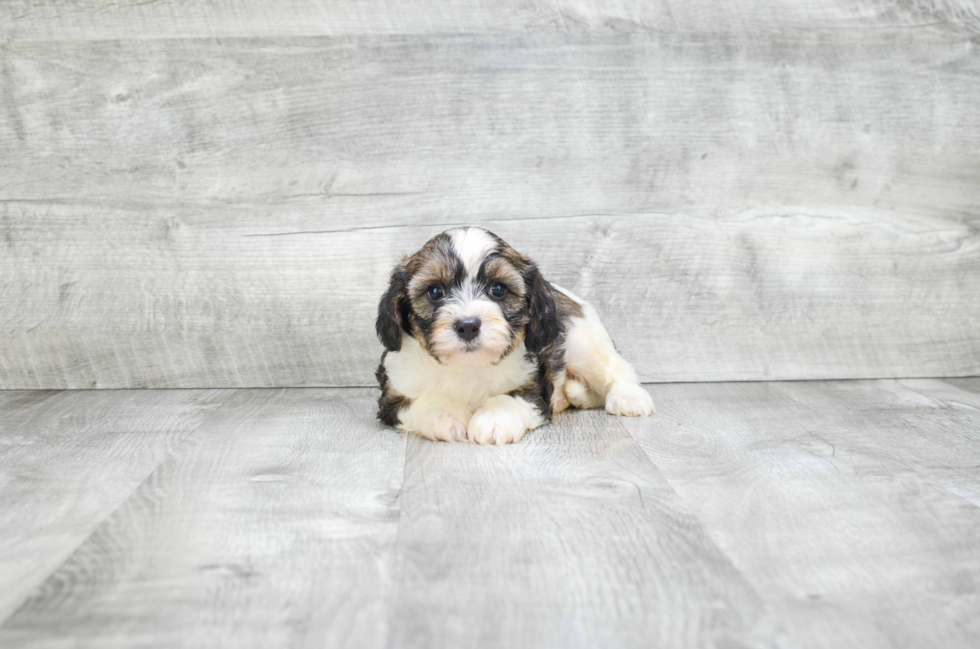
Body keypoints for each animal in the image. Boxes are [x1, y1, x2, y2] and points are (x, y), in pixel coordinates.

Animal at [376, 225, 660, 442]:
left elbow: (513, 397)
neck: (466, 367)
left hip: (582, 341)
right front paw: (445, 416)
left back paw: (629, 397)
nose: (468, 325)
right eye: (435, 292)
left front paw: (493, 419)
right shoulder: (393, 396)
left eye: (498, 289)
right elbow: (419, 401)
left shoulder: (534, 384)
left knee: (614, 368)